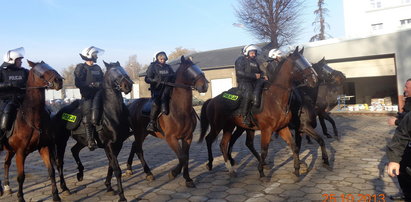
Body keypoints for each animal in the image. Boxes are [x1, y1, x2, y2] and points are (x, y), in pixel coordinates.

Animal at [0, 60, 63, 202]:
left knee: (6, 163)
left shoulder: (44, 147)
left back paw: (6, 187)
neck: (31, 118)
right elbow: (21, 177)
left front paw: (56, 195)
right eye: (39, 71)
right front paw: (20, 198)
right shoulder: (20, 152)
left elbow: (51, 171)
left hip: (10, 150)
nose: (59, 81)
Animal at [50, 61, 133, 202]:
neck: (112, 113)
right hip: (61, 141)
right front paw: (122, 196)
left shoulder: (118, 144)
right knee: (59, 162)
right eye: (113, 72)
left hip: (82, 141)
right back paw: (65, 188)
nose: (128, 85)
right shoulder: (109, 145)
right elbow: (116, 169)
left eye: (122, 69)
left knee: (74, 150)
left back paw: (80, 173)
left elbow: (111, 165)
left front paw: (108, 186)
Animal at [127, 55, 209, 188]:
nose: (205, 85)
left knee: (135, 146)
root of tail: (132, 105)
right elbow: (182, 157)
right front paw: (173, 173)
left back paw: (129, 168)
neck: (180, 110)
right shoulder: (171, 138)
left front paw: (187, 179)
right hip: (139, 133)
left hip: (143, 133)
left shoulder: (188, 137)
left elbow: (186, 157)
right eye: (189, 70)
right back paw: (148, 173)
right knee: (139, 150)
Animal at [200, 47, 318, 180]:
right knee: (210, 140)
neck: (276, 99)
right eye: (298, 64)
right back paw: (214, 165)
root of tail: (212, 100)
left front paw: (297, 170)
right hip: (218, 126)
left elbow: (294, 146)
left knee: (228, 144)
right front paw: (261, 172)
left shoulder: (282, 128)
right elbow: (264, 150)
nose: (315, 79)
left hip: (233, 127)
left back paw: (232, 167)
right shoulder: (267, 129)